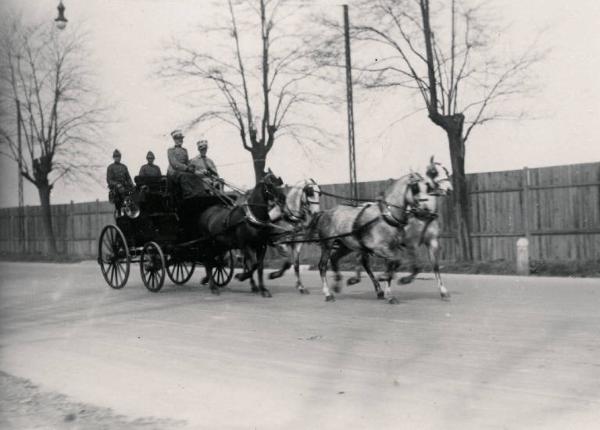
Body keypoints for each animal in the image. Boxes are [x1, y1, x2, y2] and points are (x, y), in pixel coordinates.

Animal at [197, 170, 286, 298]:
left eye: (279, 183)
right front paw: (241, 277)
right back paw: (213, 287)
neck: (252, 217)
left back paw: (208, 280)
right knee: (207, 260)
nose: (283, 198)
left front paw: (262, 289)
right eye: (270, 185)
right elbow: (253, 264)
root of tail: (206, 212)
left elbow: (259, 266)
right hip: (208, 242)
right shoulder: (245, 245)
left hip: (219, 244)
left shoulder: (261, 246)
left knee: (214, 261)